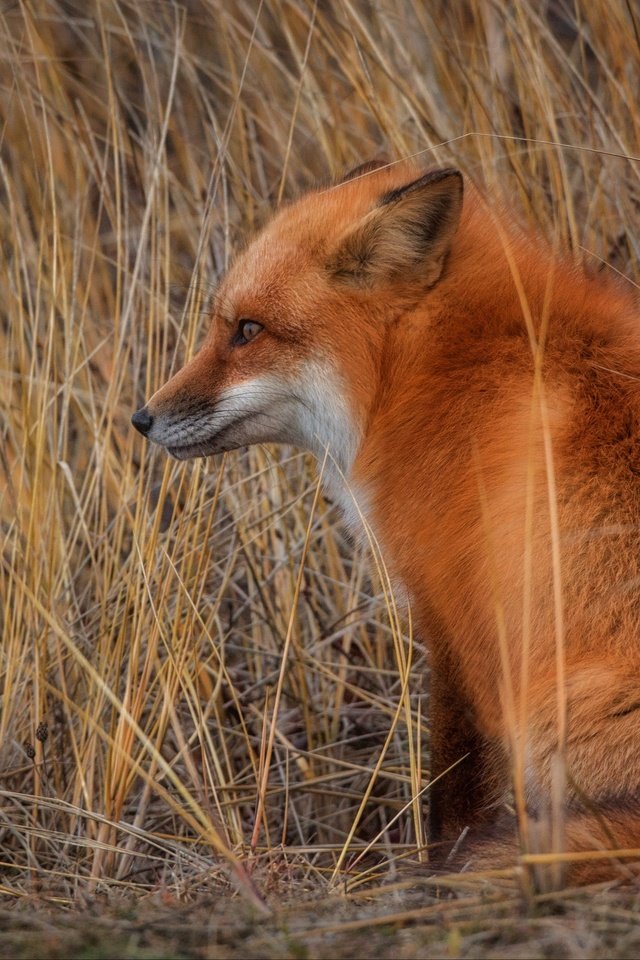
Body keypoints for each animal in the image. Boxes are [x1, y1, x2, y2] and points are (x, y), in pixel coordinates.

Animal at [132, 159, 640, 884]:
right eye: (223, 326)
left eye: (249, 330)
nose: (141, 418)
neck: (434, 373)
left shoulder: (455, 616)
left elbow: (453, 786)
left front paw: (440, 866)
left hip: (555, 715)